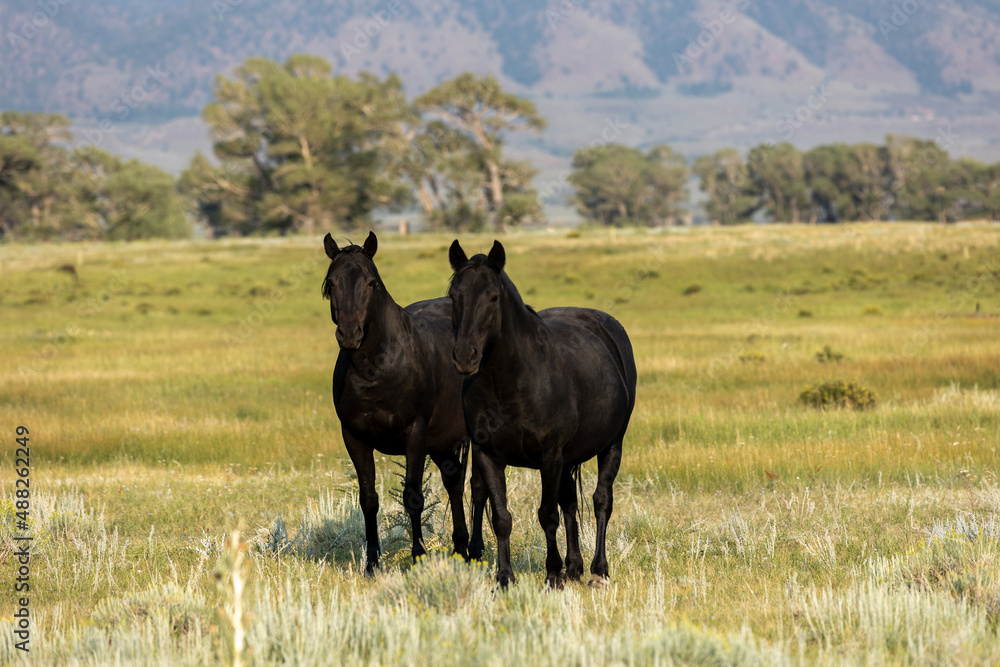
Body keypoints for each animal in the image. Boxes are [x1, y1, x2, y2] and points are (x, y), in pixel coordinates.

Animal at [322, 231, 487, 573]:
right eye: (331, 283)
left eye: (371, 282)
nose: (350, 333)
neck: (376, 369)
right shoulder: (354, 438)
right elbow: (368, 499)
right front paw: (372, 563)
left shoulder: (415, 435)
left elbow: (413, 496)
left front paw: (419, 556)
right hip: (443, 441)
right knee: (454, 482)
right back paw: (460, 549)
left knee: (478, 487)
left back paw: (476, 550)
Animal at [448, 239, 637, 588]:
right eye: (454, 295)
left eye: (493, 297)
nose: (465, 355)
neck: (511, 382)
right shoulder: (487, 455)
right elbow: (502, 517)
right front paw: (505, 578)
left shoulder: (549, 456)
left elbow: (547, 515)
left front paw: (552, 575)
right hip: (569, 457)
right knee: (570, 502)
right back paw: (574, 567)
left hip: (611, 445)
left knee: (601, 501)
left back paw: (597, 570)